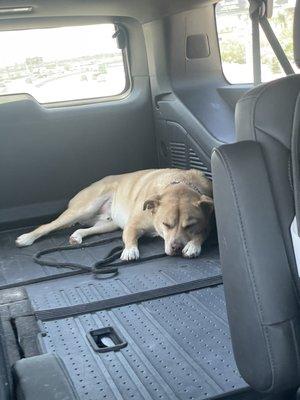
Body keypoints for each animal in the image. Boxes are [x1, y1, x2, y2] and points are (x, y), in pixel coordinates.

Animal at [15, 168, 213, 260]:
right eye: (166, 224)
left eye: (190, 225)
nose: (177, 247)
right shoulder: (133, 225)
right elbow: (130, 237)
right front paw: (130, 251)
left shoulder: (207, 224)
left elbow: (202, 234)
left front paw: (193, 246)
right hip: (82, 209)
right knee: (46, 226)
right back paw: (26, 238)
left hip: (108, 224)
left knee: (87, 229)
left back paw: (77, 236)